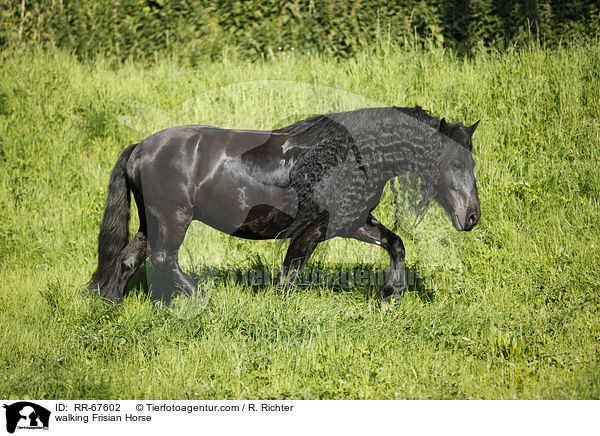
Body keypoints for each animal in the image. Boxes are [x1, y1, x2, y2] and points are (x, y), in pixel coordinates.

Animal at [89, 106, 480, 304]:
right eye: (456, 164)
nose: (472, 217)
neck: (349, 156)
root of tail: (140, 147)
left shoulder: (353, 223)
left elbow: (395, 243)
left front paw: (391, 294)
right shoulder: (312, 229)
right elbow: (288, 278)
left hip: (152, 222)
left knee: (128, 260)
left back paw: (113, 306)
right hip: (174, 218)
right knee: (163, 259)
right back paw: (204, 300)